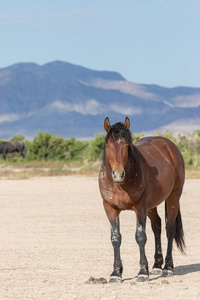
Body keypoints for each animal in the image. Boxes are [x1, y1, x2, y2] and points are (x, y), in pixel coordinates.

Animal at [98, 118, 184, 284]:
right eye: (108, 145)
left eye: (127, 146)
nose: (118, 174)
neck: (120, 184)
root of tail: (170, 147)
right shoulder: (110, 208)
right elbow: (115, 238)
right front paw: (116, 273)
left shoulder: (140, 207)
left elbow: (140, 236)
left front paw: (143, 272)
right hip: (152, 206)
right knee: (157, 226)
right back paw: (157, 265)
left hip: (173, 198)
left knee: (169, 228)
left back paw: (168, 268)